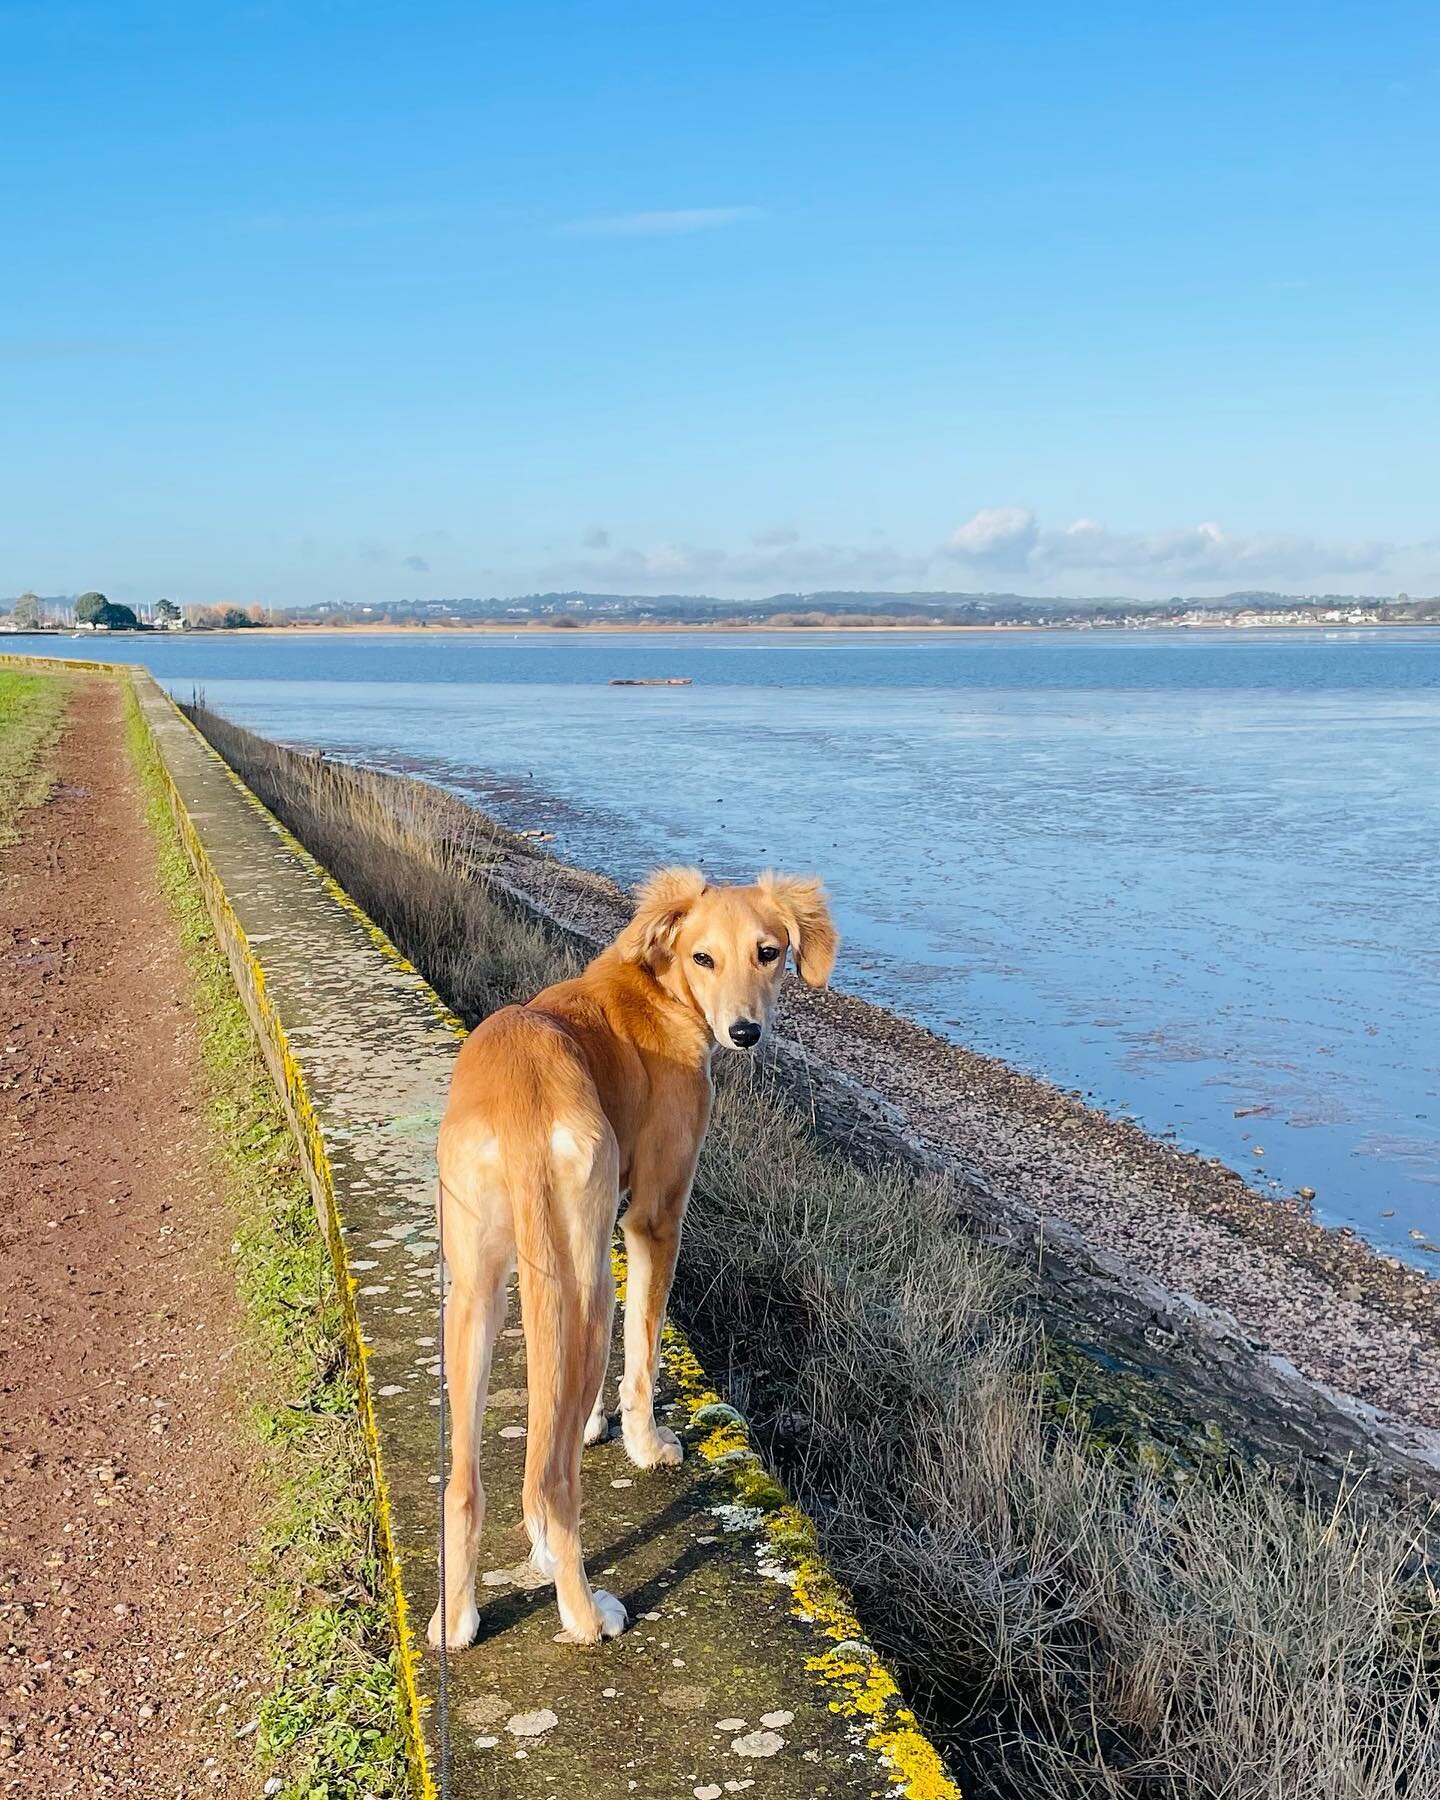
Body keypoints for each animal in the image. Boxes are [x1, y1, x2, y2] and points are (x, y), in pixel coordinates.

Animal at [421, 867, 838, 1648]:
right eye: (706, 957)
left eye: (767, 952)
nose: (745, 1033)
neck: (661, 990)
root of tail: (520, 1098)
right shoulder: (653, 1218)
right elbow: (644, 1350)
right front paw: (646, 1444)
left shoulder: (584, 1243)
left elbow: (575, 1387)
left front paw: (588, 1423)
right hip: (581, 1286)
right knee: (555, 1481)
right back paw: (586, 1614)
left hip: (480, 1292)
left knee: (464, 1485)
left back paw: (455, 1620)